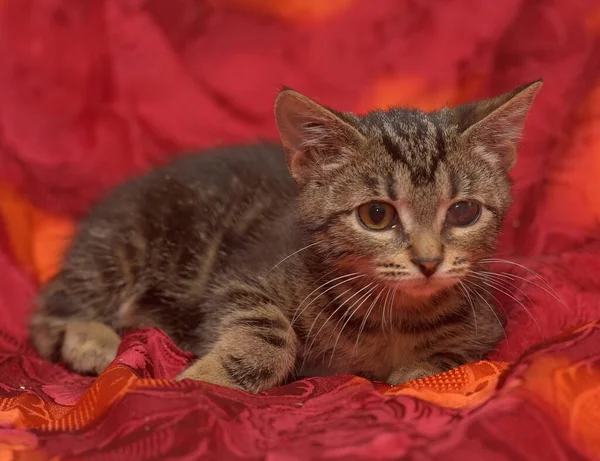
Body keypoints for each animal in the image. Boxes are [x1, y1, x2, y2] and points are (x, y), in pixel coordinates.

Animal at [30, 79, 540, 392]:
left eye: (464, 211)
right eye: (376, 215)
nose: (430, 261)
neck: (392, 315)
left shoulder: (487, 327)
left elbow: (457, 356)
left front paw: (421, 366)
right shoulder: (240, 280)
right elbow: (270, 332)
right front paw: (205, 379)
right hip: (124, 245)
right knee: (49, 310)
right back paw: (92, 340)